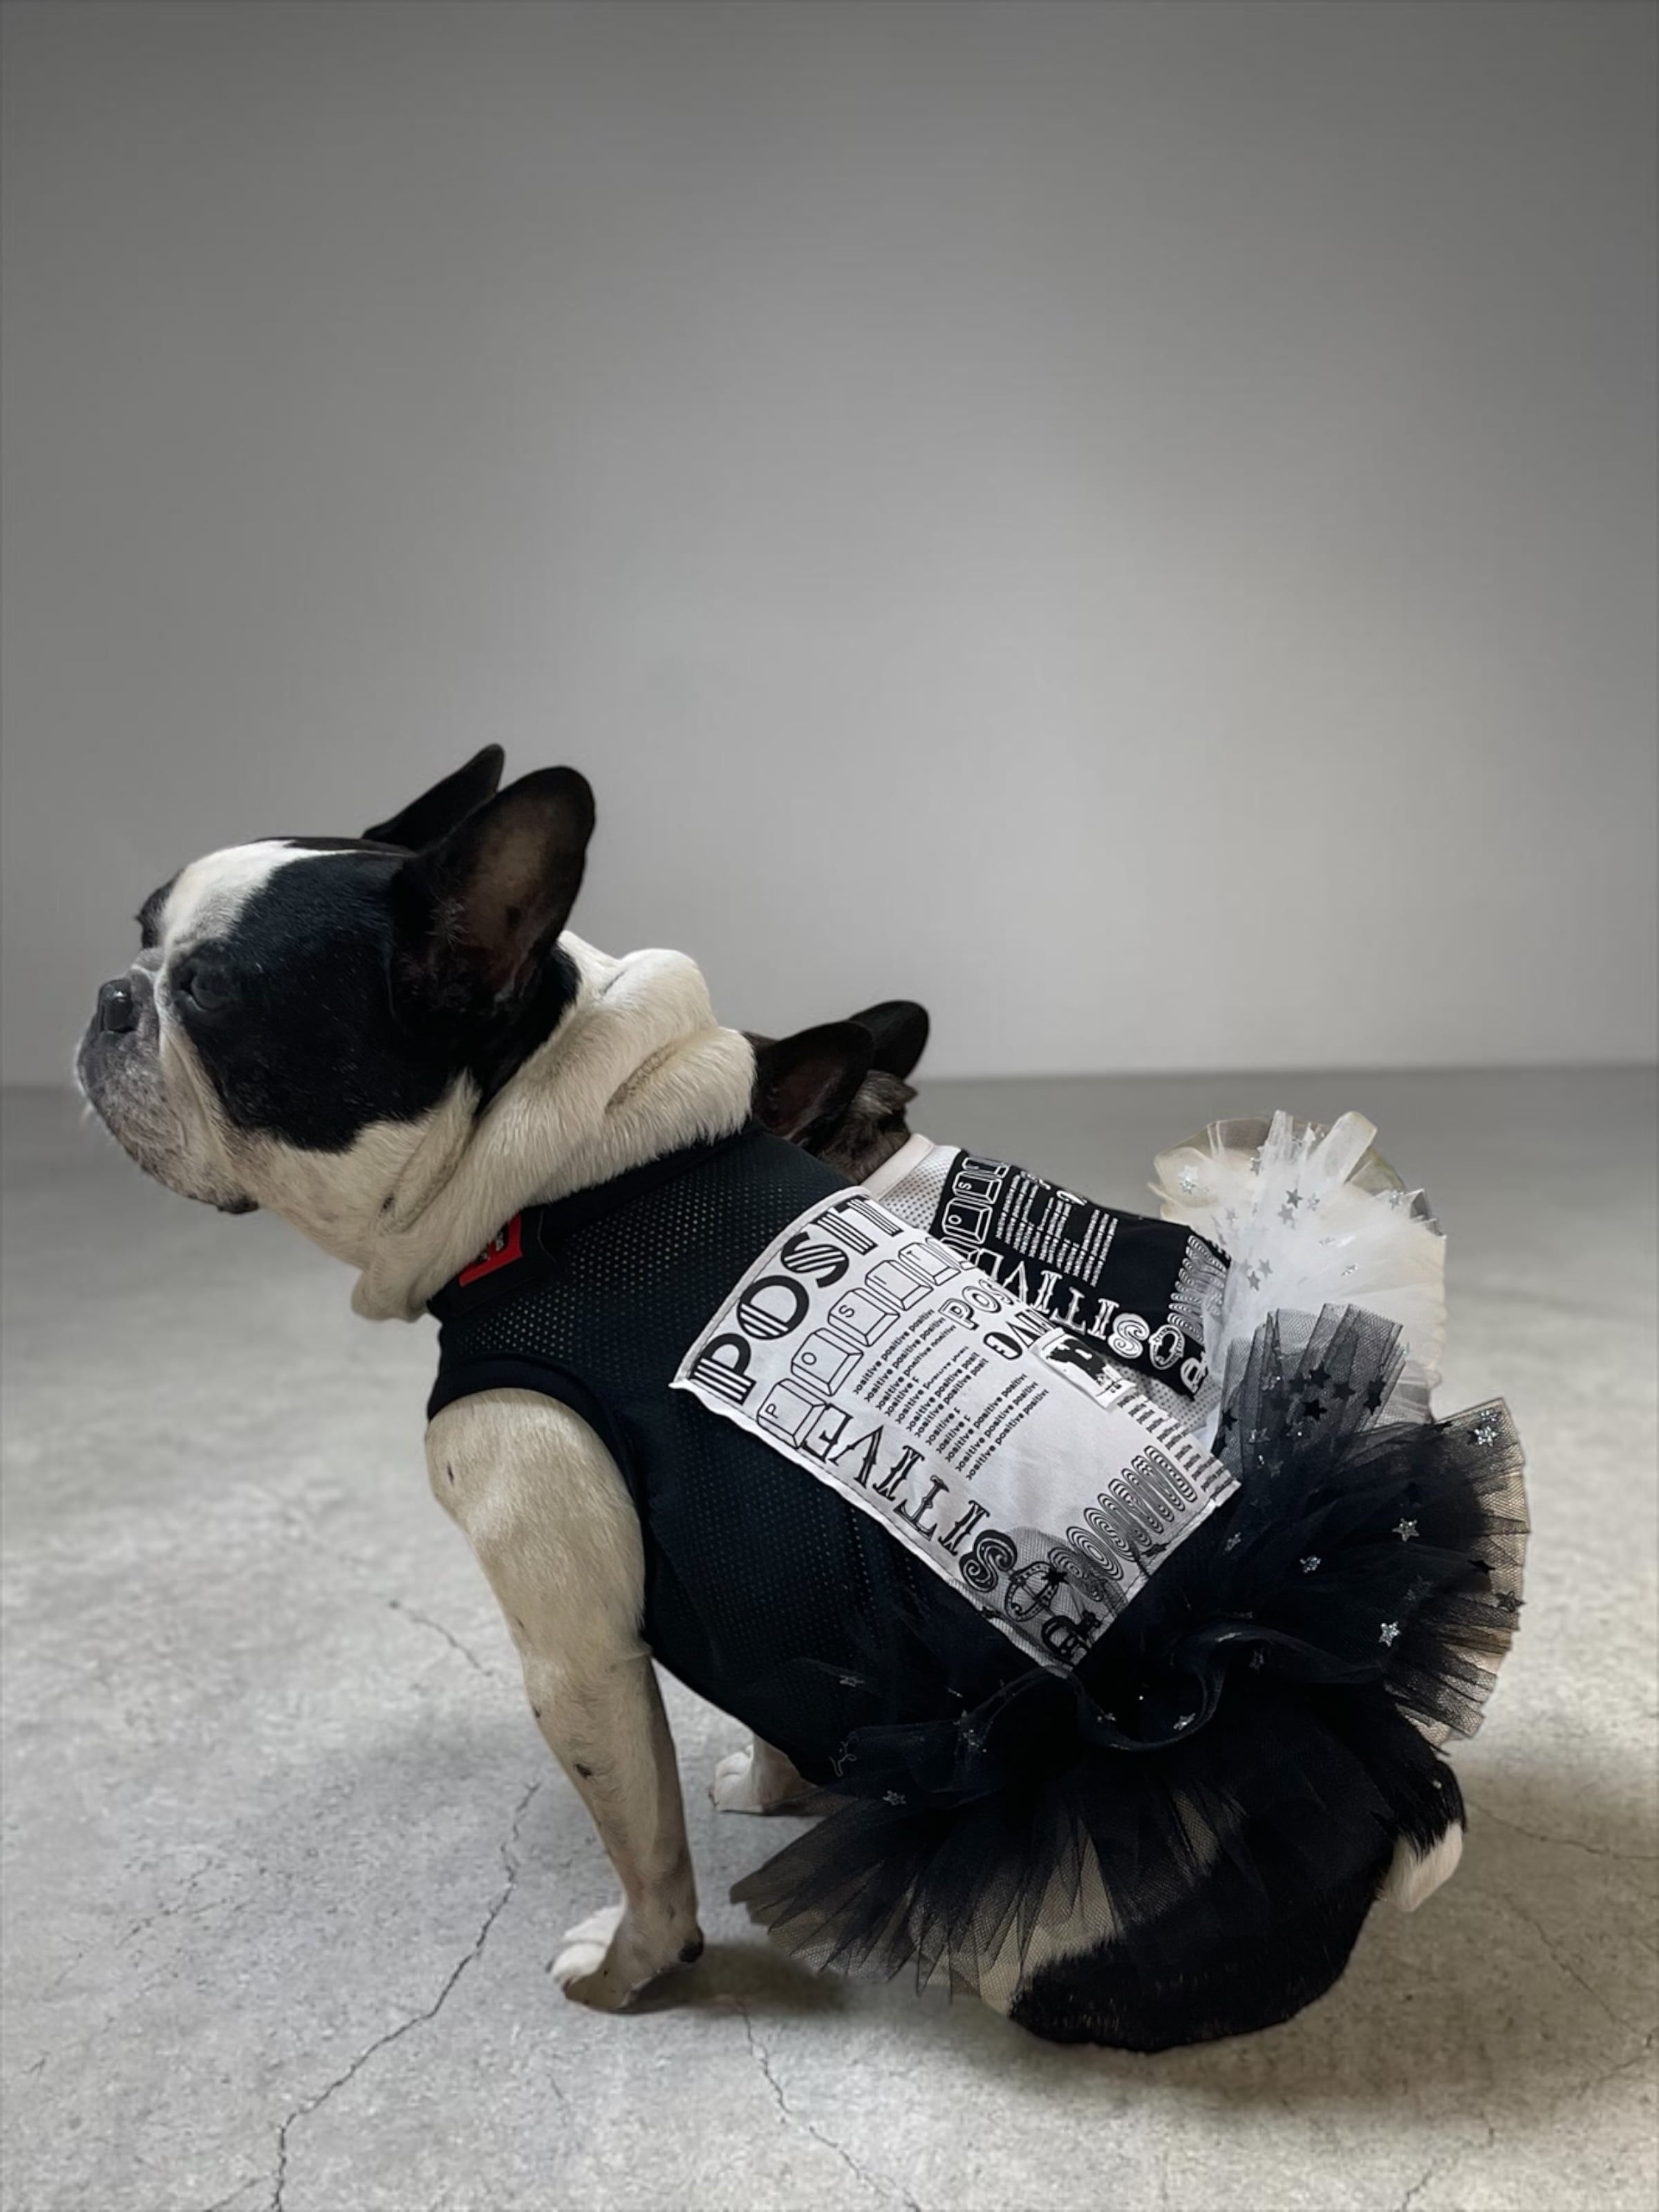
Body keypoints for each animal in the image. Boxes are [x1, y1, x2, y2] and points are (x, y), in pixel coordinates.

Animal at [79, 753, 1522, 2044]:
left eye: (213, 1001)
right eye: (144, 933)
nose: (110, 996)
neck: (570, 1177)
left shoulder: (574, 1644)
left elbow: (645, 1851)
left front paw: (633, 1975)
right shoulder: (747, 1611)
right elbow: (765, 1693)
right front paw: (775, 1787)